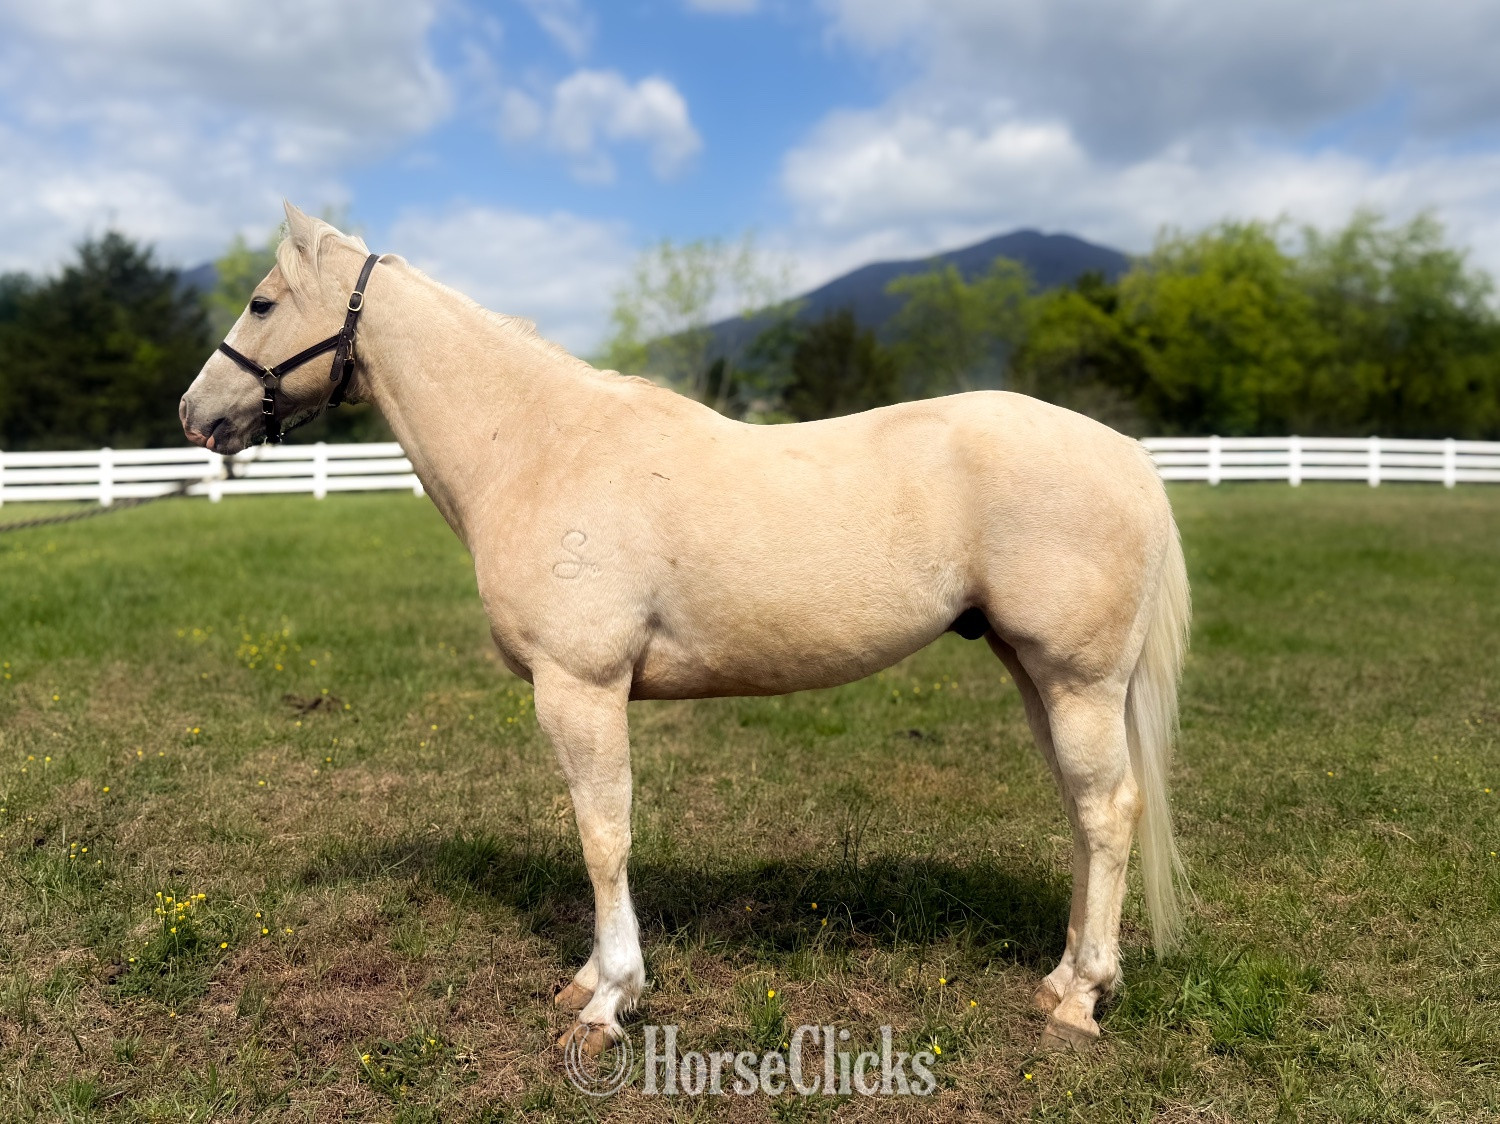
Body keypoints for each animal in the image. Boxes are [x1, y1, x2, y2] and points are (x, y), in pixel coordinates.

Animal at [180, 203, 1190, 1054]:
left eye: (262, 300)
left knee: (1107, 810)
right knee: (1083, 811)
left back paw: (1079, 999)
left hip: (1078, 679)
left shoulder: (580, 690)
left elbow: (603, 835)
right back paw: (1062, 978)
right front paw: (588, 979)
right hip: (1035, 673)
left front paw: (607, 1002)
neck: (537, 446)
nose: (195, 414)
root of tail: (1126, 456)